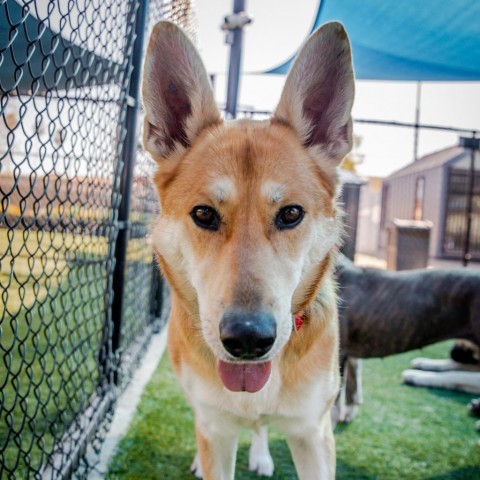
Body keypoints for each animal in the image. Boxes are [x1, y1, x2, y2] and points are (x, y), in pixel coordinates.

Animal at [141, 19, 354, 480]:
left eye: (291, 214)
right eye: (203, 214)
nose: (248, 340)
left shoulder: (314, 435)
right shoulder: (215, 431)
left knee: (258, 426)